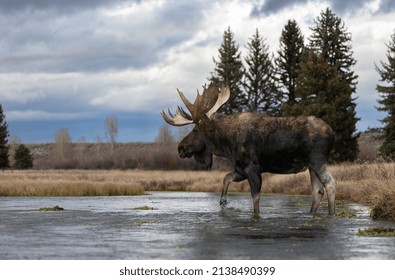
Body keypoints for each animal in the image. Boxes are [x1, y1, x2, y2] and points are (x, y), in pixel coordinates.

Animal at [161, 82, 338, 215]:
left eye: (196, 130)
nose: (180, 148)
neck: (225, 146)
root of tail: (332, 132)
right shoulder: (240, 169)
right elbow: (226, 178)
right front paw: (223, 200)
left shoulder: (252, 168)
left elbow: (255, 201)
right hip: (310, 166)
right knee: (317, 190)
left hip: (317, 160)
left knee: (330, 184)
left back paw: (331, 214)